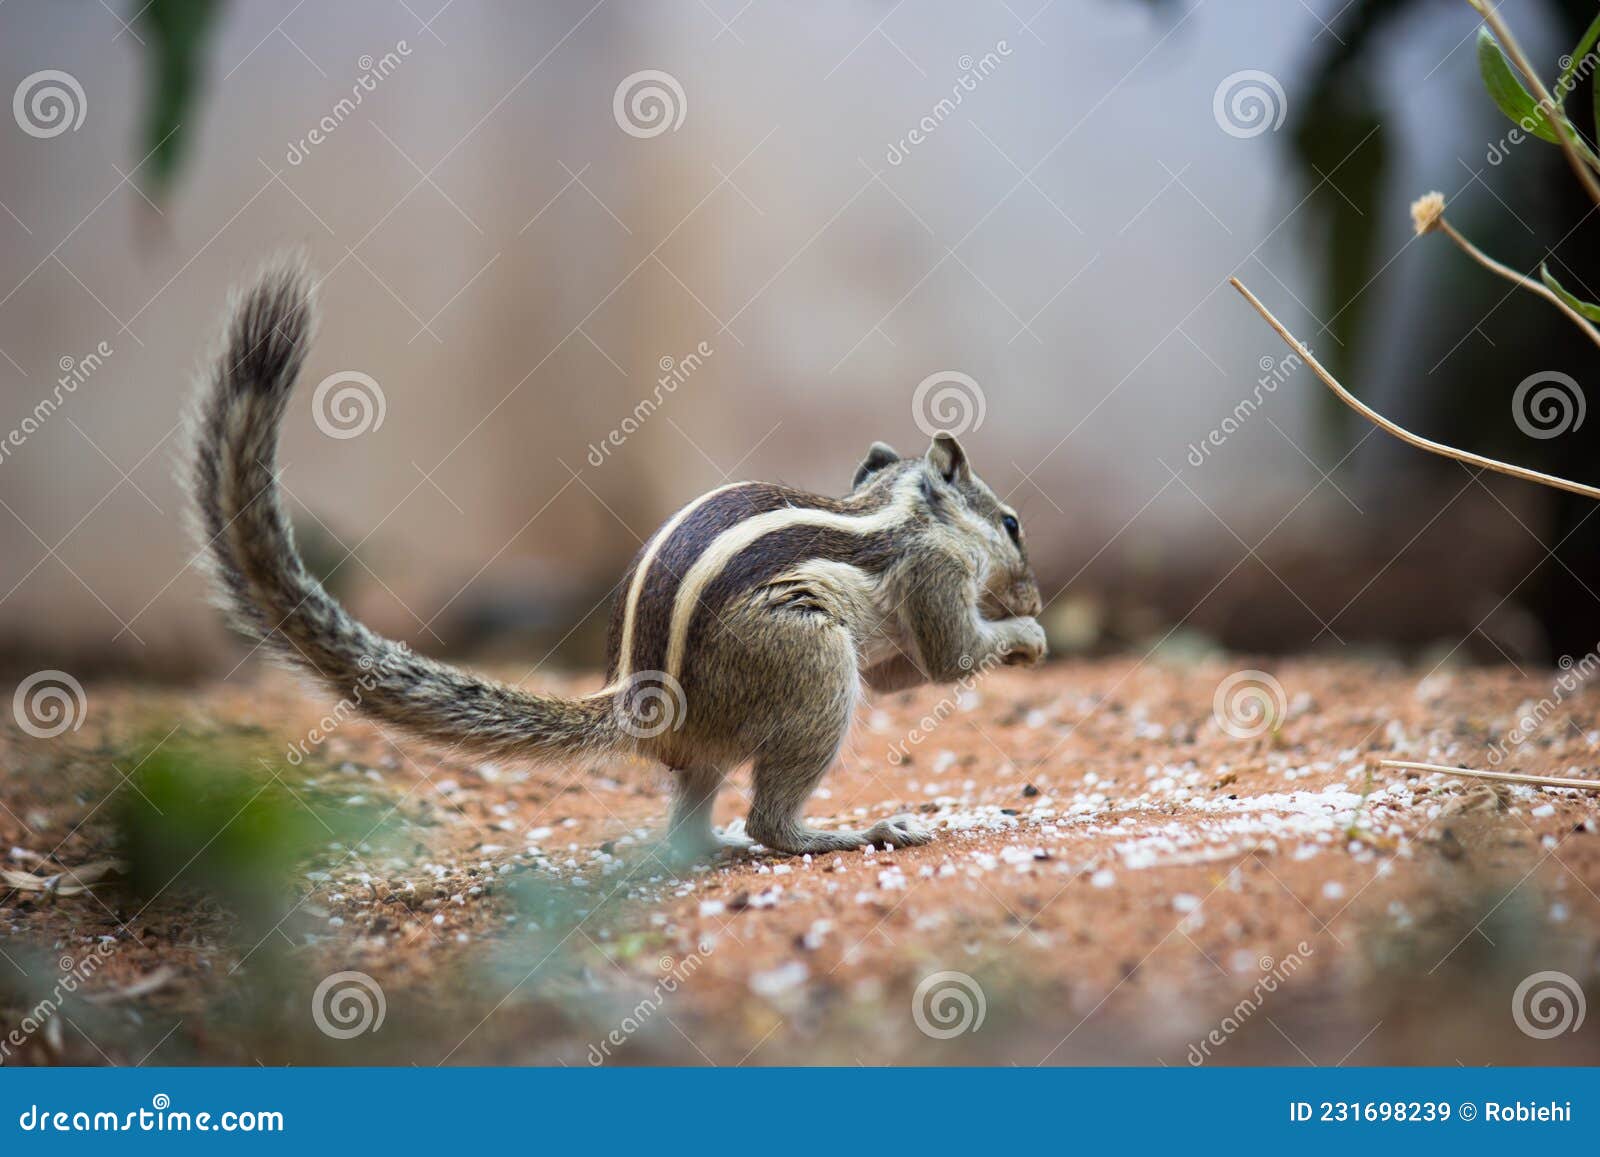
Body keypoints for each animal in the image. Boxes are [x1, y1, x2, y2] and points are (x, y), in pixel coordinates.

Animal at [187, 256, 1047, 861]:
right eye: (1011, 524)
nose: (1037, 599)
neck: (902, 509)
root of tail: (637, 698)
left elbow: (911, 673)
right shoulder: (934, 575)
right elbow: (951, 658)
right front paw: (1028, 640)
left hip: (731, 733)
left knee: (694, 826)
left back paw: (717, 843)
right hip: (809, 671)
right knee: (771, 821)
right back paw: (854, 833)